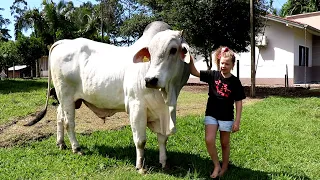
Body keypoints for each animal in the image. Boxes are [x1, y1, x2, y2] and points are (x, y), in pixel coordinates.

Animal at [25, 21, 191, 170]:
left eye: (173, 50)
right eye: (149, 52)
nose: (150, 80)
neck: (167, 95)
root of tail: (63, 42)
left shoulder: (163, 112)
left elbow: (162, 138)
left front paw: (164, 163)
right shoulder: (136, 106)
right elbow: (140, 140)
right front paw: (140, 166)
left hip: (66, 98)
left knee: (60, 116)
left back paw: (61, 143)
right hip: (65, 95)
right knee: (68, 123)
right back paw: (76, 148)